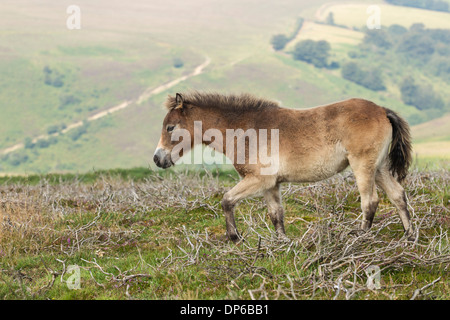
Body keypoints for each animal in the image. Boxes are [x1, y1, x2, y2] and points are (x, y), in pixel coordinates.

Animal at [153, 92, 414, 242]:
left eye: (170, 127)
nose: (157, 159)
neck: (245, 130)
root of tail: (382, 110)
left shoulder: (258, 180)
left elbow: (227, 200)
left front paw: (235, 237)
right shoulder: (271, 185)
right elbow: (276, 214)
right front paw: (282, 243)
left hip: (363, 166)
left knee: (370, 202)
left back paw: (360, 236)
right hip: (379, 168)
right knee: (398, 195)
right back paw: (409, 236)